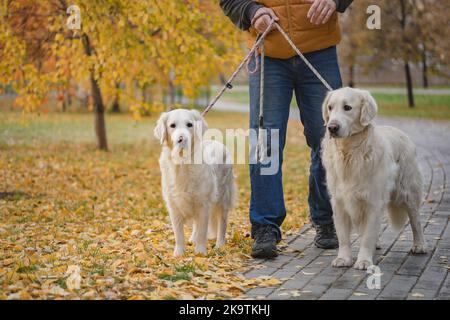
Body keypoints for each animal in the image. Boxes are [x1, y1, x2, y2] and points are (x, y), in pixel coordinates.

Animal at [154, 109, 236, 256]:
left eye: (189, 125)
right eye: (172, 125)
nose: (182, 139)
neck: (182, 163)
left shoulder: (203, 203)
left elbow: (203, 231)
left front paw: (200, 252)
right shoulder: (173, 205)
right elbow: (178, 233)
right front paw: (179, 253)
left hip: (224, 197)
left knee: (222, 222)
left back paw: (220, 244)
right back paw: (193, 238)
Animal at [322, 86, 428, 268]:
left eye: (347, 107)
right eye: (330, 107)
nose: (332, 127)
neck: (350, 153)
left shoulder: (373, 200)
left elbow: (367, 235)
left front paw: (364, 261)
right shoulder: (339, 202)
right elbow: (343, 236)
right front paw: (343, 258)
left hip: (408, 192)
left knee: (416, 220)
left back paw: (419, 245)